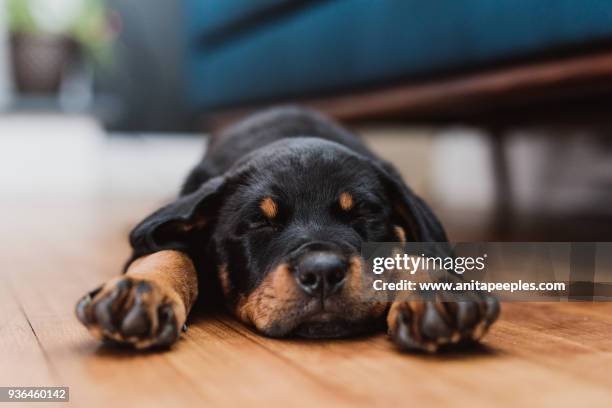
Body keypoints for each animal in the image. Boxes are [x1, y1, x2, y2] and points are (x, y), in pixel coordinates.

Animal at [75, 107, 498, 352]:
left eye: (362, 215)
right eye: (260, 222)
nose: (323, 273)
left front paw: (437, 295)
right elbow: (169, 251)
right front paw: (138, 293)